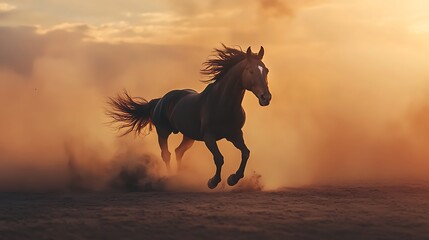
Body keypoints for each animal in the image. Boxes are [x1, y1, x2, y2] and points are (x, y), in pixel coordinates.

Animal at [108, 44, 272, 188]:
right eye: (250, 70)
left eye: (266, 70)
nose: (266, 97)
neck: (222, 103)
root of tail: (160, 100)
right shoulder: (209, 137)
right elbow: (219, 158)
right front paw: (213, 182)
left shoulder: (235, 134)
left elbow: (246, 153)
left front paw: (233, 178)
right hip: (163, 131)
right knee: (166, 154)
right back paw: (171, 178)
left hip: (189, 136)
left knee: (178, 151)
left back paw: (181, 175)